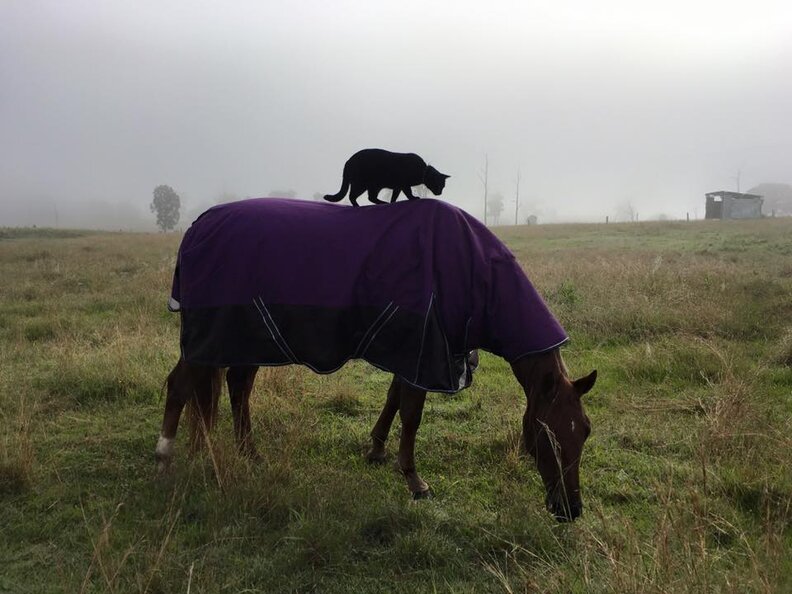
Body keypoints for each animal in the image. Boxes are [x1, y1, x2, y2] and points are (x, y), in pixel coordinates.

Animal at [156, 197, 596, 522]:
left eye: (585, 432)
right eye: (547, 435)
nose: (570, 510)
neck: (470, 267)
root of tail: (197, 227)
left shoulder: (409, 352)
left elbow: (394, 400)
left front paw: (377, 451)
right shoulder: (424, 351)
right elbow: (412, 415)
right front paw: (414, 480)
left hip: (247, 339)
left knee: (236, 388)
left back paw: (247, 454)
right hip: (212, 339)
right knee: (182, 386)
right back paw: (169, 459)